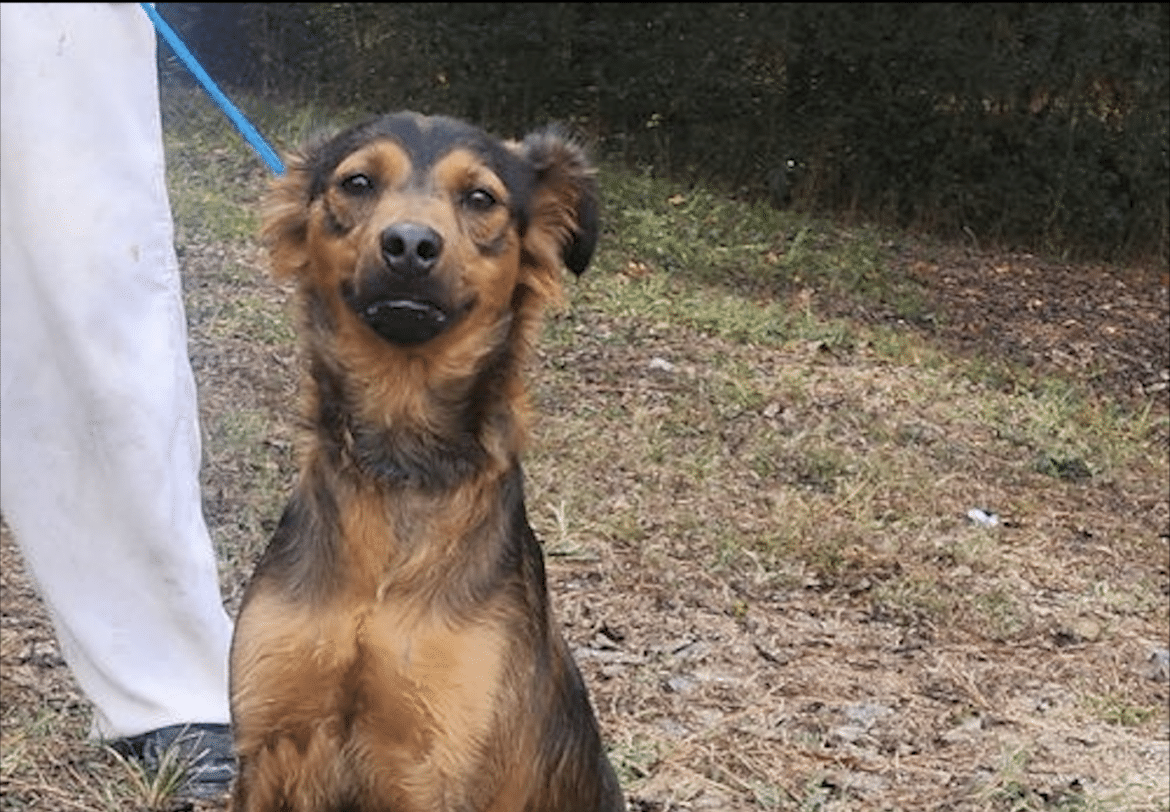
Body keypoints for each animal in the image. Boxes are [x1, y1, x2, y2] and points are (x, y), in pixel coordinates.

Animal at [227, 112, 623, 812]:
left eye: (481, 198)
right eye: (357, 182)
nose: (409, 244)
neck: (399, 465)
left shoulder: (439, 767)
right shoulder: (270, 743)